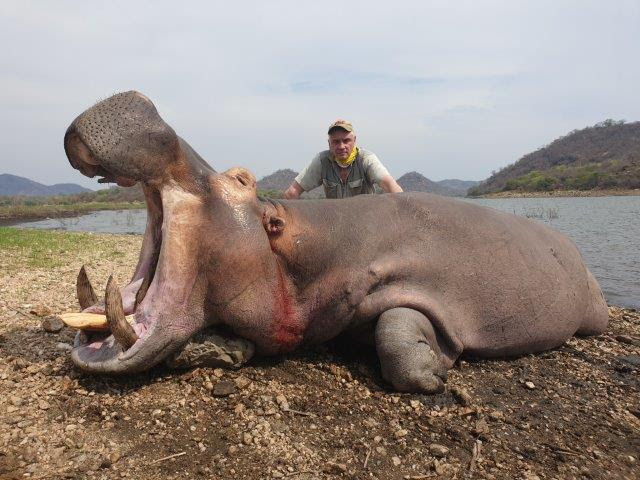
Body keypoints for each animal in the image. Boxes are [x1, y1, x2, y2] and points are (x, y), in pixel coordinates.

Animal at [63, 91, 608, 393]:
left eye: (241, 178)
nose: (141, 100)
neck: (306, 244)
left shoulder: (416, 280)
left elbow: (396, 333)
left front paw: (432, 376)